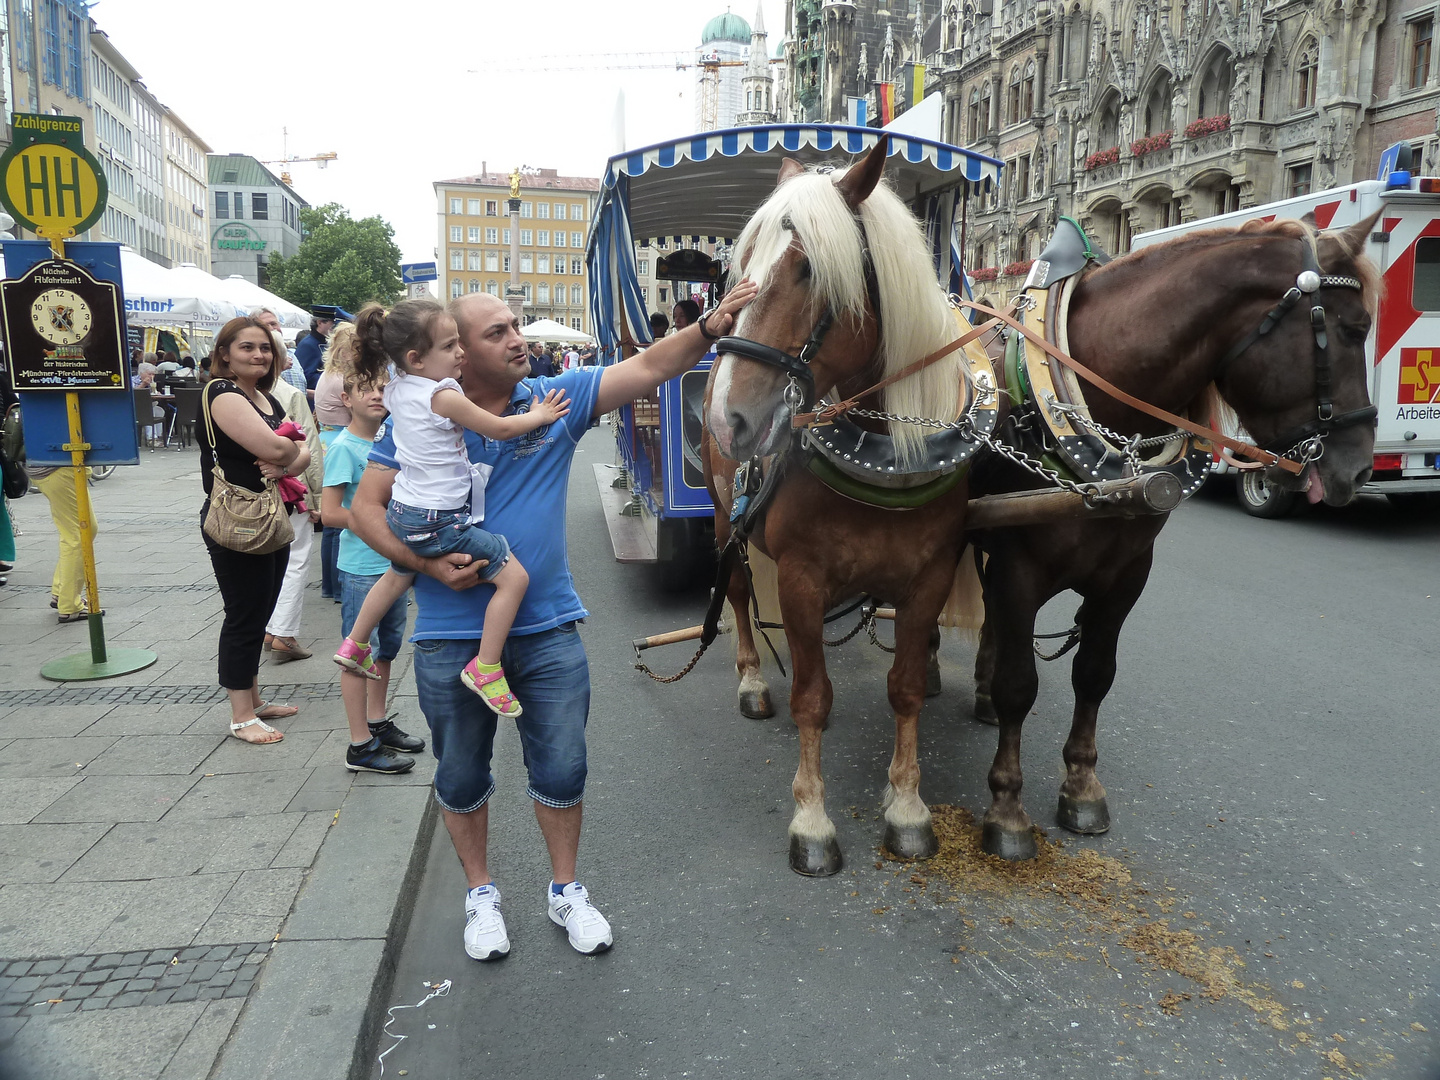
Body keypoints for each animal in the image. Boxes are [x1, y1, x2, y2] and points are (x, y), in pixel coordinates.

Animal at [699, 137, 979, 881]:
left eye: (807, 269)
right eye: (739, 268)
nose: (729, 417)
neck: (885, 455)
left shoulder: (929, 578)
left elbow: (904, 687)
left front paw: (907, 808)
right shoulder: (801, 579)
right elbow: (813, 698)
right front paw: (813, 820)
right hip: (723, 516)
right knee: (738, 591)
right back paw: (750, 678)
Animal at [967, 213, 1382, 864]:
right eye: (1351, 328)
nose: (1360, 469)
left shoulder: (1126, 575)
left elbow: (1095, 673)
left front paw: (1081, 785)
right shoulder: (1019, 566)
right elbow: (1020, 685)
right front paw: (1007, 807)